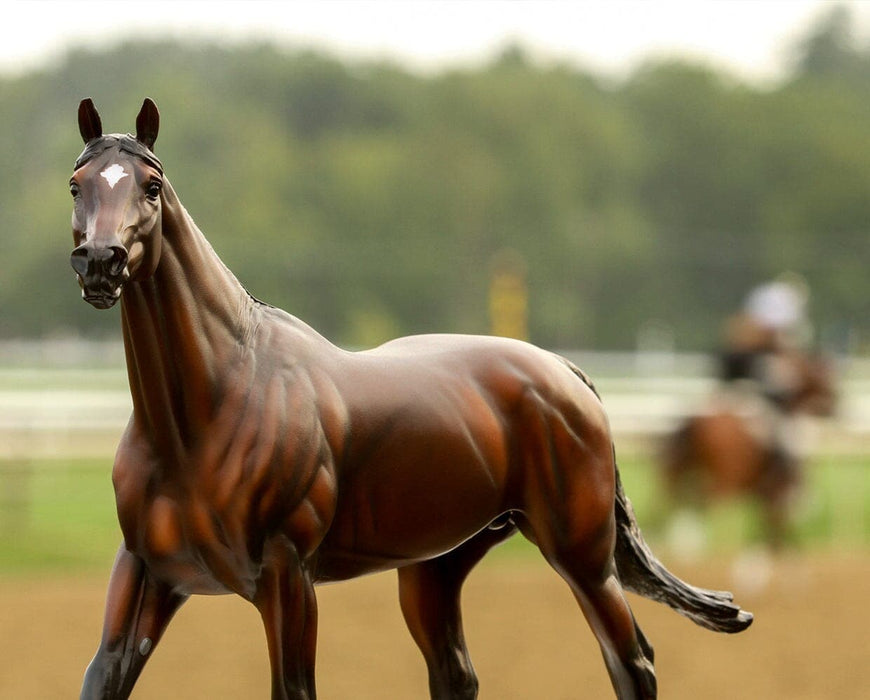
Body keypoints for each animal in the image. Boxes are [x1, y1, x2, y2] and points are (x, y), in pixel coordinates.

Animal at [70, 100, 748, 700]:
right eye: (77, 184)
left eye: (151, 186)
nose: (100, 262)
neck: (206, 415)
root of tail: (563, 370)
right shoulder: (147, 574)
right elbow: (102, 680)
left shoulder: (287, 579)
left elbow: (294, 689)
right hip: (435, 567)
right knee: (457, 675)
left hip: (581, 555)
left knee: (632, 662)